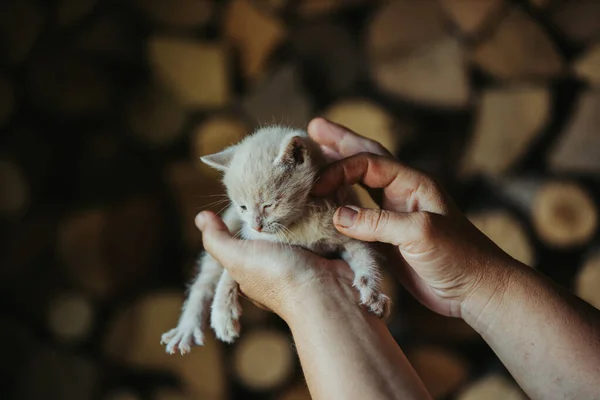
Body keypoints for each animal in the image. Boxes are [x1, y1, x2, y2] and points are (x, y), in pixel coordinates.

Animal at [162, 125, 392, 354]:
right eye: (243, 207)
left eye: (269, 205)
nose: (256, 226)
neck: (301, 220)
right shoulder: (250, 238)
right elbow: (228, 274)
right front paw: (222, 314)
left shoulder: (346, 226)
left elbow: (364, 256)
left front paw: (373, 292)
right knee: (203, 282)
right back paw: (187, 328)